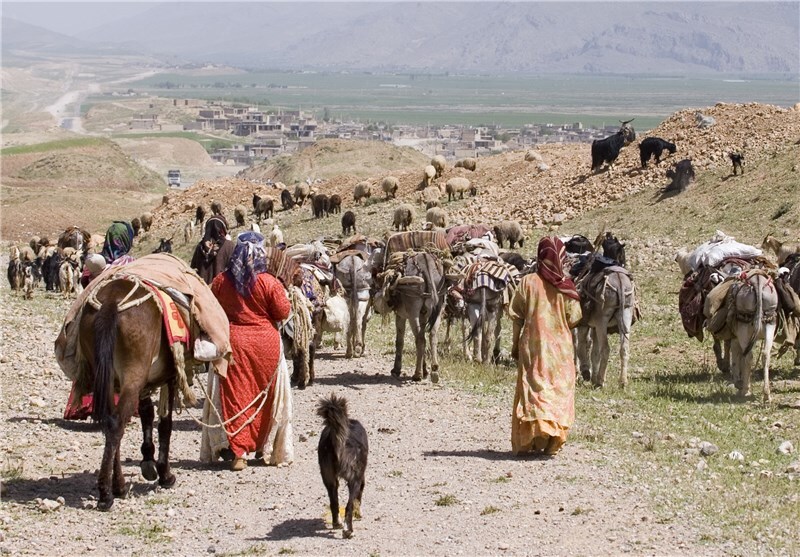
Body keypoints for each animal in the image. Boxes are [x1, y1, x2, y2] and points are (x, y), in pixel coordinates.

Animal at [318, 390, 370, 540]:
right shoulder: (360, 478)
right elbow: (357, 500)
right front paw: (359, 513)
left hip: (329, 478)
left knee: (334, 502)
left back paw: (337, 523)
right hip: (354, 479)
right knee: (349, 506)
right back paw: (348, 530)